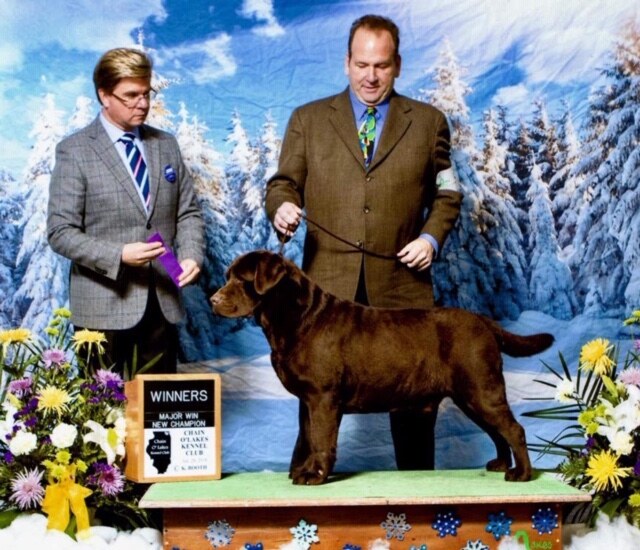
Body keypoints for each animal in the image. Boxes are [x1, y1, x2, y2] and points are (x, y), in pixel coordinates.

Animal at [210, 250, 553, 485]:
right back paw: (501, 464)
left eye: (241, 279)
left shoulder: (322, 398)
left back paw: (522, 473)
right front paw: (304, 470)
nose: (213, 299)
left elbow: (320, 439)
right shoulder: (308, 401)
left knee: (513, 429)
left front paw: (314, 476)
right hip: (470, 396)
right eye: (227, 276)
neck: (295, 317)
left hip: (481, 388)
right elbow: (308, 437)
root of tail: (483, 321)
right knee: (497, 432)